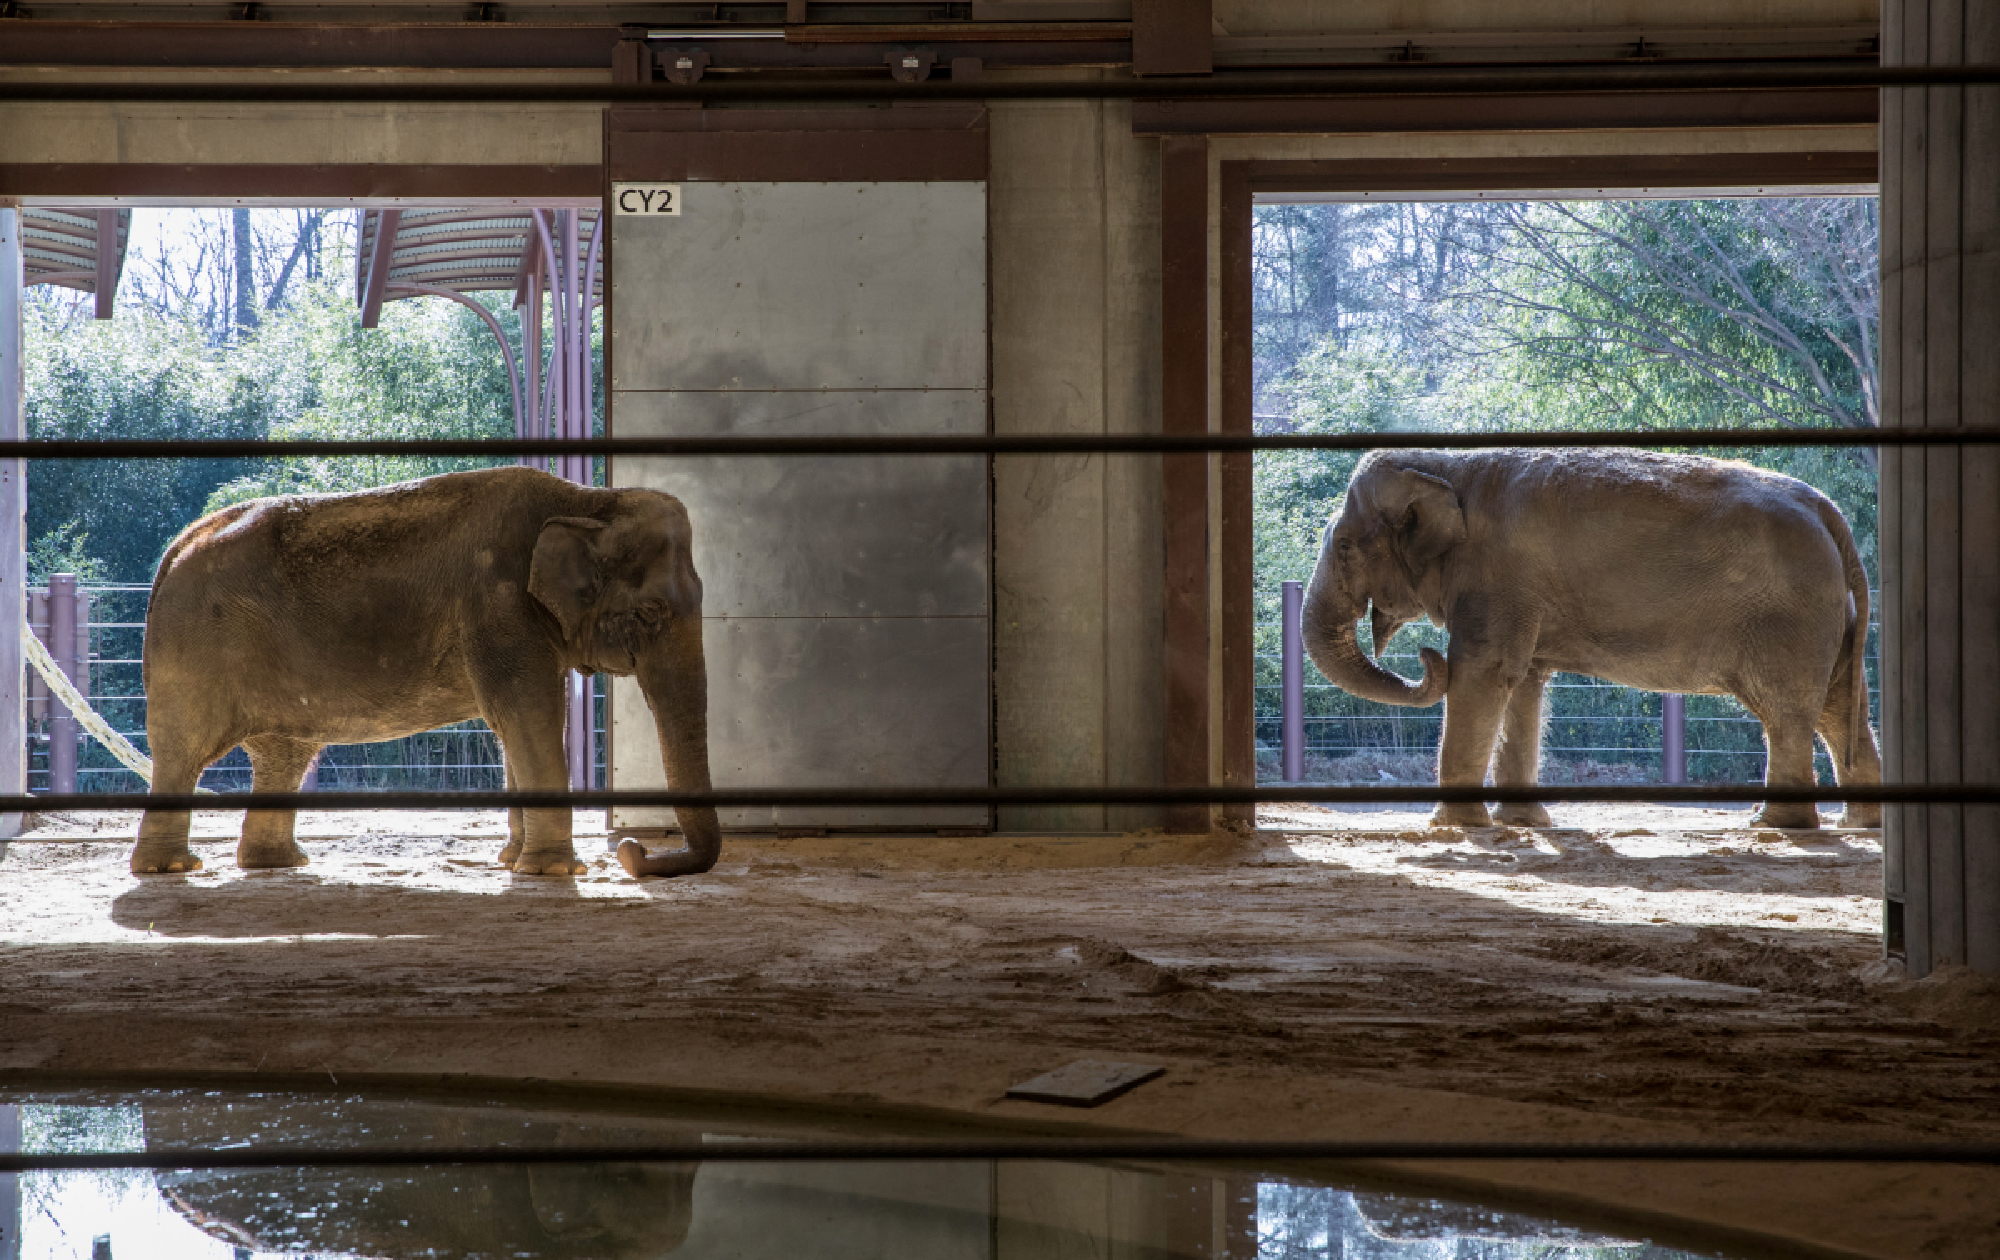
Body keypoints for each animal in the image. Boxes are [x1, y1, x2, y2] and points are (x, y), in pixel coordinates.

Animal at [130, 465, 719, 878]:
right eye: (651, 613)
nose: (633, 852)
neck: (587, 500)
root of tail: (176, 546)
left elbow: (520, 723)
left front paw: (513, 861)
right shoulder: (497, 603)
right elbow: (528, 714)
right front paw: (554, 870)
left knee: (284, 755)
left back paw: (277, 864)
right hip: (194, 652)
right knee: (183, 754)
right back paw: (171, 868)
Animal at [1303, 448, 1881, 831]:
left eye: (1346, 547)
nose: (1424, 656)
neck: (1446, 463)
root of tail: (1833, 517)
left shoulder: (1497, 577)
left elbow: (1481, 673)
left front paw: (1456, 828)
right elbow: (1523, 682)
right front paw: (1524, 825)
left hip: (1791, 618)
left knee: (1786, 712)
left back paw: (1775, 825)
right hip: (1830, 621)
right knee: (1835, 711)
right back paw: (1857, 824)